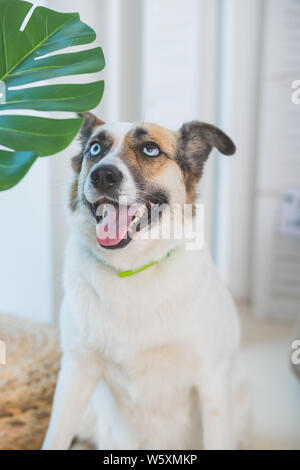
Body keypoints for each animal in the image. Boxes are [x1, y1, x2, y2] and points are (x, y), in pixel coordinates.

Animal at [42, 114, 248, 452]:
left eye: (150, 149)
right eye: (95, 148)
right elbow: (55, 437)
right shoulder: (76, 372)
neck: (133, 270)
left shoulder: (212, 383)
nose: (102, 176)